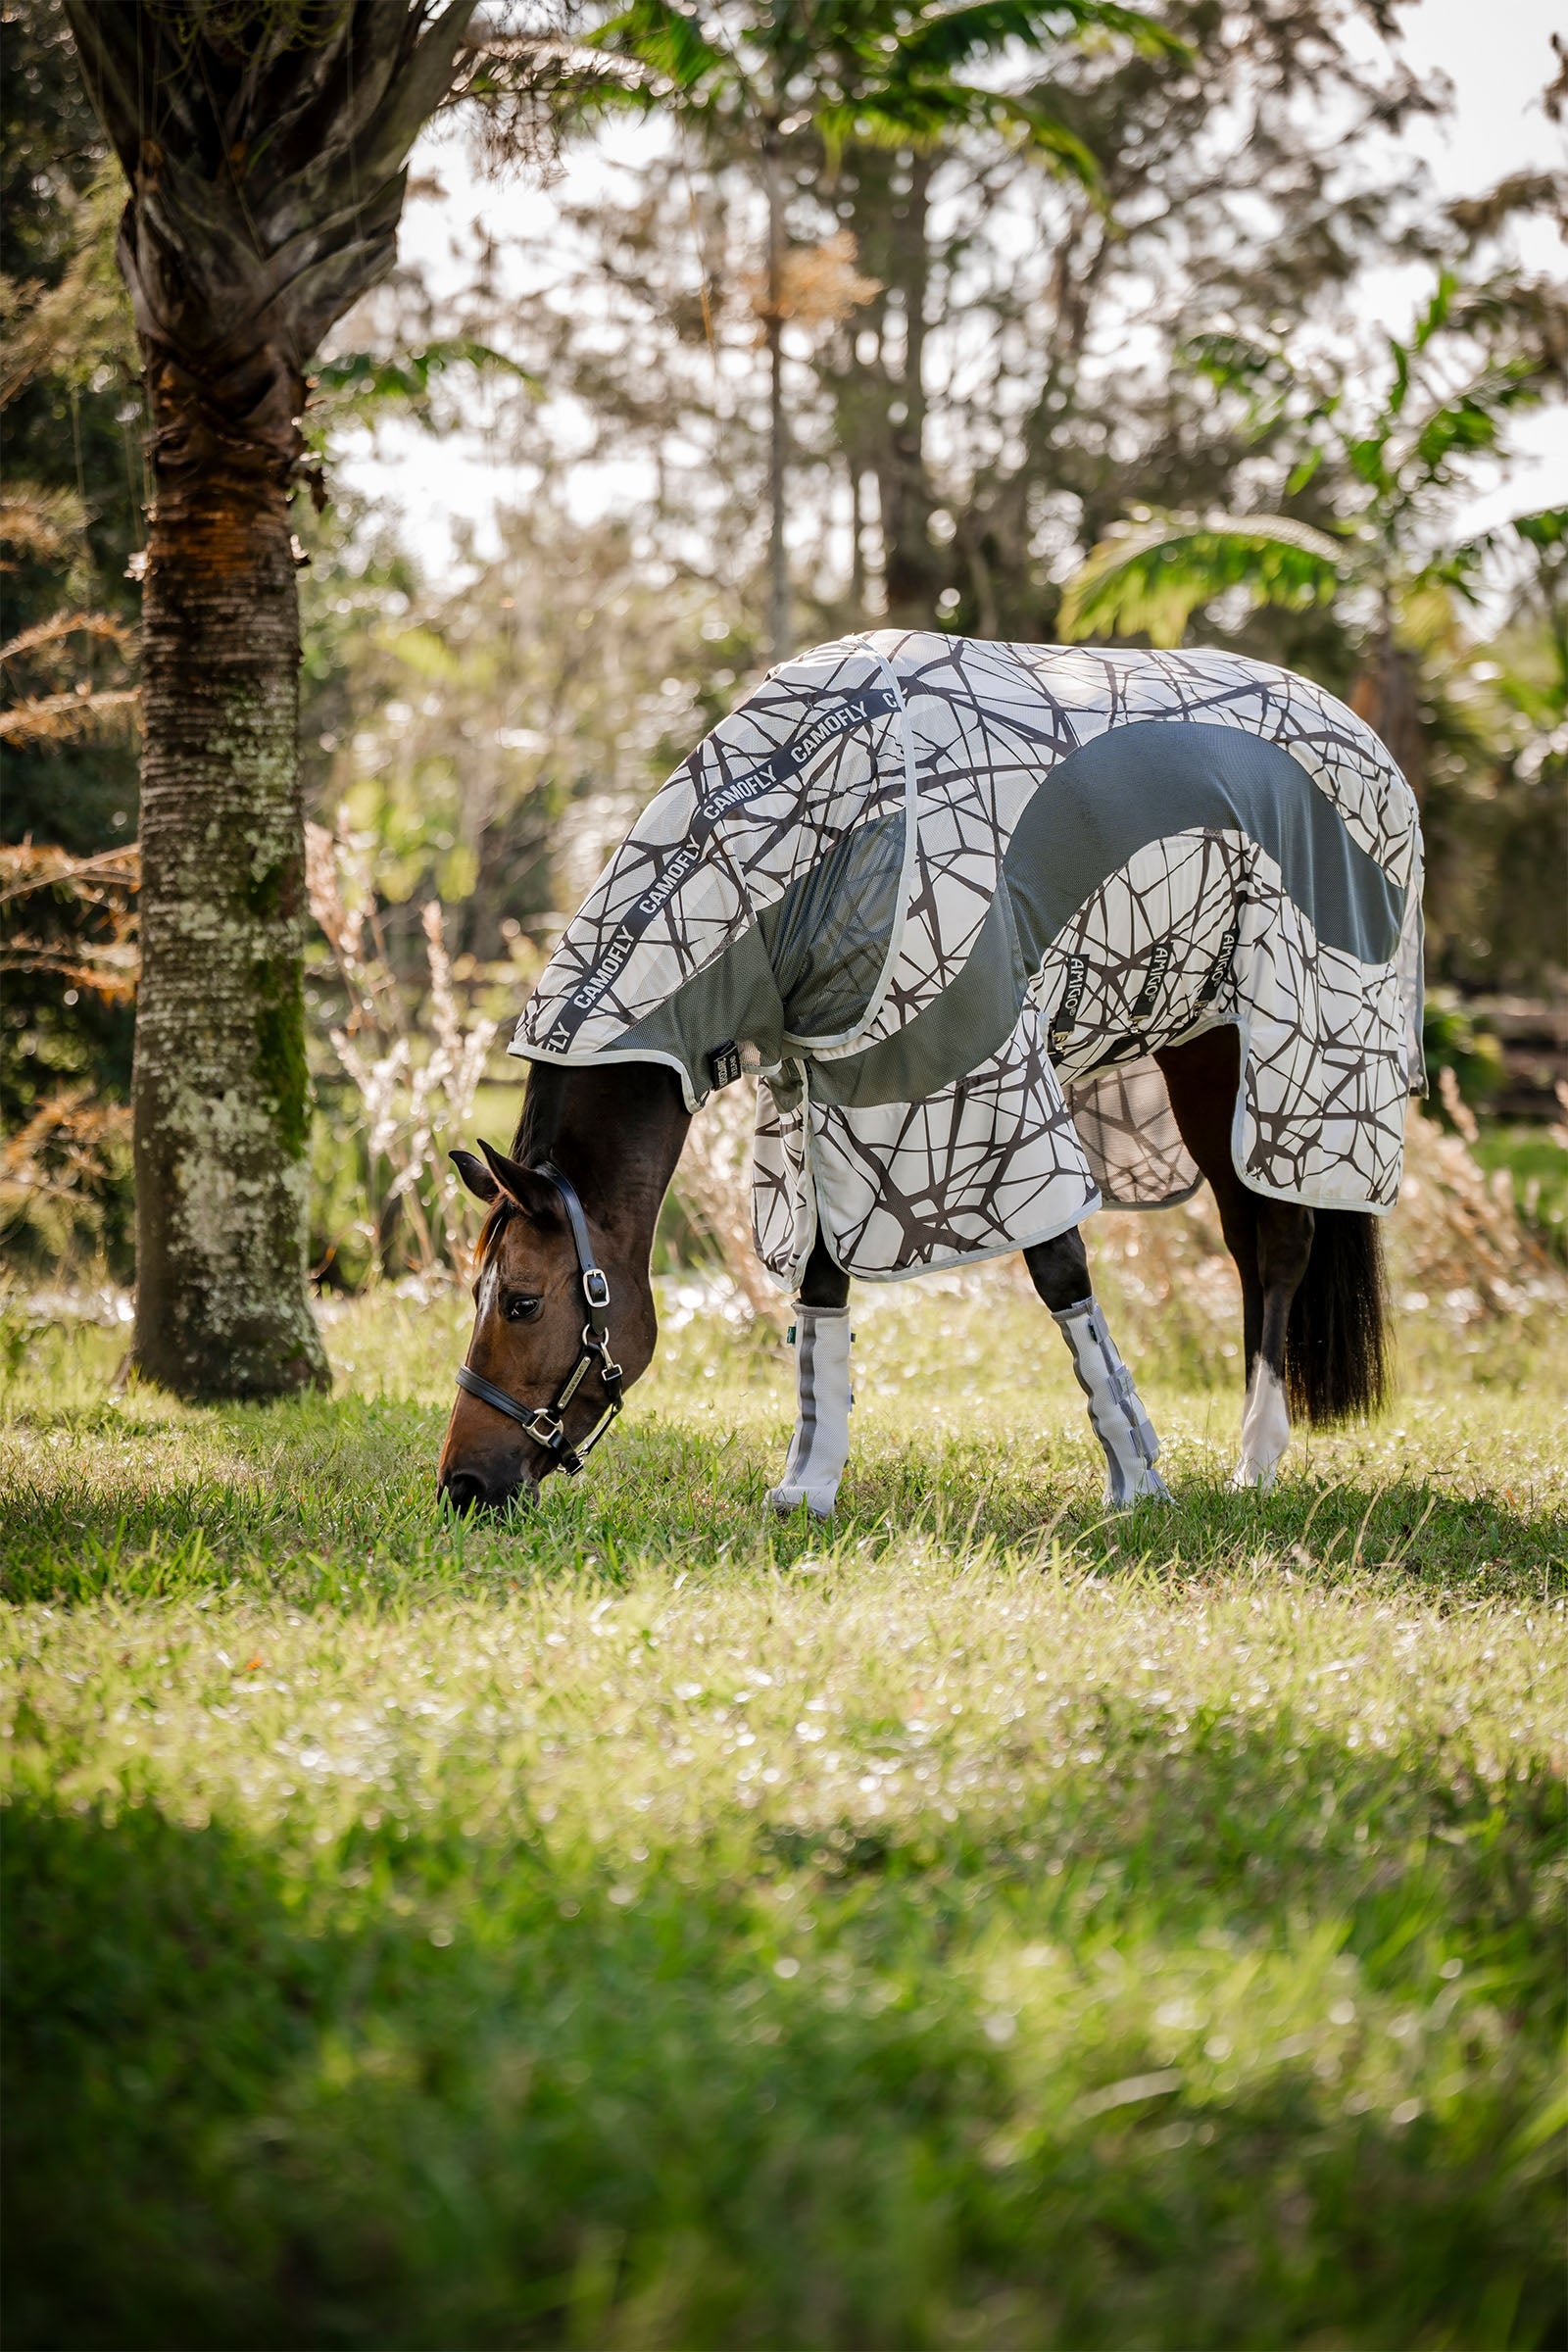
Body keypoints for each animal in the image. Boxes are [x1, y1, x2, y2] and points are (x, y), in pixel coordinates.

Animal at [438, 630, 1419, 1516]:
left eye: (521, 1302)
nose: (462, 1485)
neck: (804, 838)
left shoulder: (981, 1086)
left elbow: (1058, 1267)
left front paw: (1137, 1479)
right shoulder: (823, 1093)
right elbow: (822, 1280)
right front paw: (809, 1485)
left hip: (1283, 1055)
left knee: (1281, 1238)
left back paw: (1256, 1459)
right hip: (1199, 1042)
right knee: (1250, 1240)